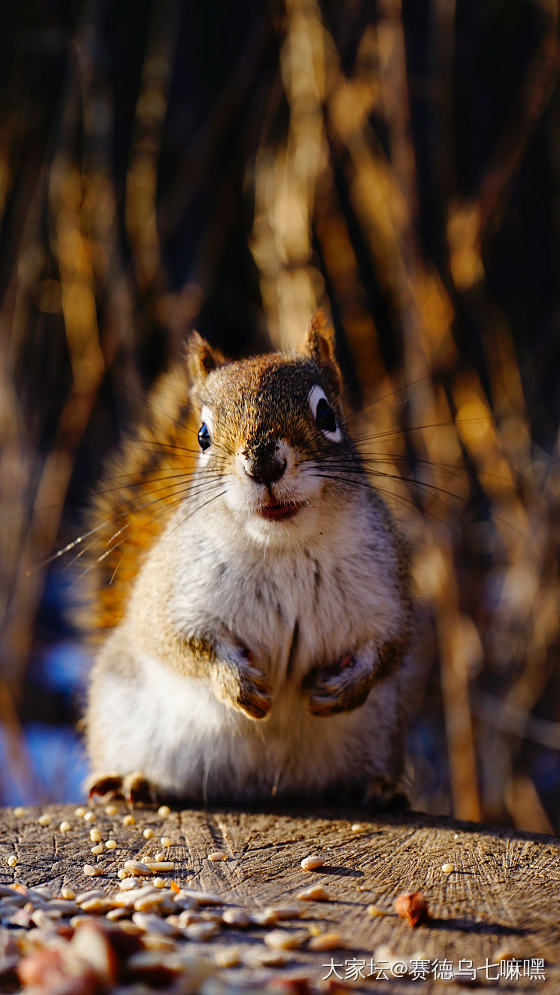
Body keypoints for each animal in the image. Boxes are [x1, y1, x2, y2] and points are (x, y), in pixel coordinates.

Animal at [81, 316, 418, 812]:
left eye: (327, 415)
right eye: (202, 435)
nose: (263, 462)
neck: (284, 549)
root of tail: (263, 789)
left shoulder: (387, 595)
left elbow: (390, 648)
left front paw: (344, 688)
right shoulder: (170, 596)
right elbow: (175, 643)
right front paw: (236, 683)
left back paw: (378, 790)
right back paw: (134, 782)